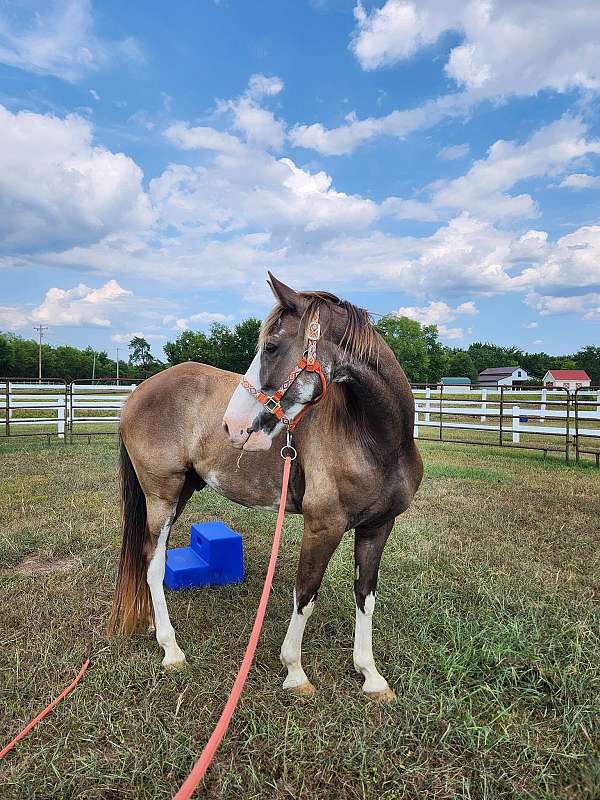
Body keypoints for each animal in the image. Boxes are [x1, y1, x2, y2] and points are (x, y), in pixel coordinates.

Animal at [110, 276, 424, 700]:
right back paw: (170, 648)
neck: (375, 440)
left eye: (271, 347)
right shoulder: (322, 526)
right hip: (162, 496)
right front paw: (295, 671)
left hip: (181, 494)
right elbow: (305, 593)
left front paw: (370, 676)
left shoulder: (377, 527)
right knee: (153, 563)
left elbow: (365, 596)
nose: (232, 424)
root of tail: (137, 394)